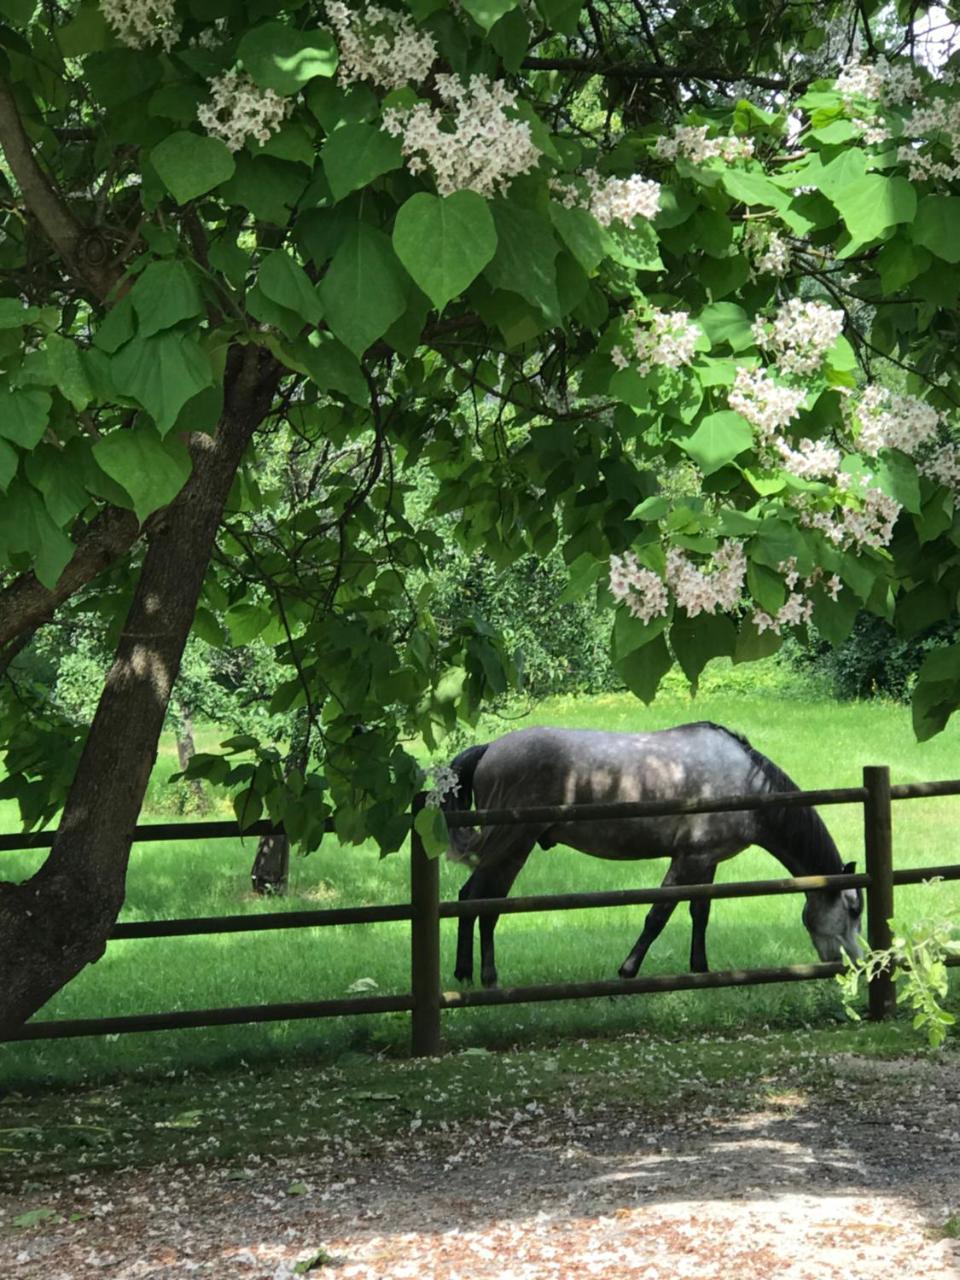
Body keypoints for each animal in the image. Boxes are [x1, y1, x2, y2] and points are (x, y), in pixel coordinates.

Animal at [442, 721, 865, 988]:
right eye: (851, 910)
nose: (857, 964)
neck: (744, 783)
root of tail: (489, 749)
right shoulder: (687, 859)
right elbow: (658, 915)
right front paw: (628, 970)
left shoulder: (706, 861)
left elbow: (700, 913)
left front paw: (700, 969)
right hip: (513, 846)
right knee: (486, 905)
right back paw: (489, 978)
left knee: (469, 898)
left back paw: (464, 973)